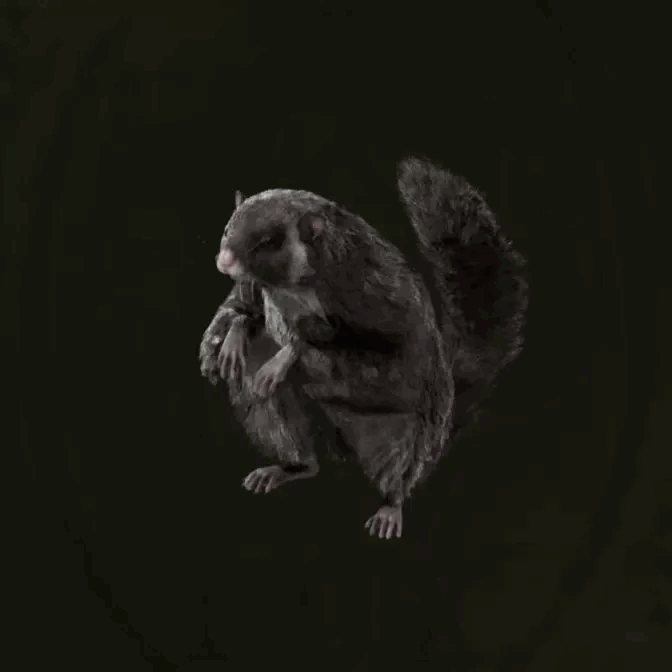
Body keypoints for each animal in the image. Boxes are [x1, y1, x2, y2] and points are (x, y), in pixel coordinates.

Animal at [199, 157, 528, 539]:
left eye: (268, 241)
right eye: (226, 229)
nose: (224, 261)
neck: (288, 288)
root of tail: (342, 453)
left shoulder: (370, 293)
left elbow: (370, 347)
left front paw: (285, 355)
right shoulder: (252, 288)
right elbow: (241, 308)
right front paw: (224, 342)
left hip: (401, 443)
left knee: (398, 476)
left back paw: (390, 508)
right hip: (278, 419)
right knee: (297, 445)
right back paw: (289, 467)